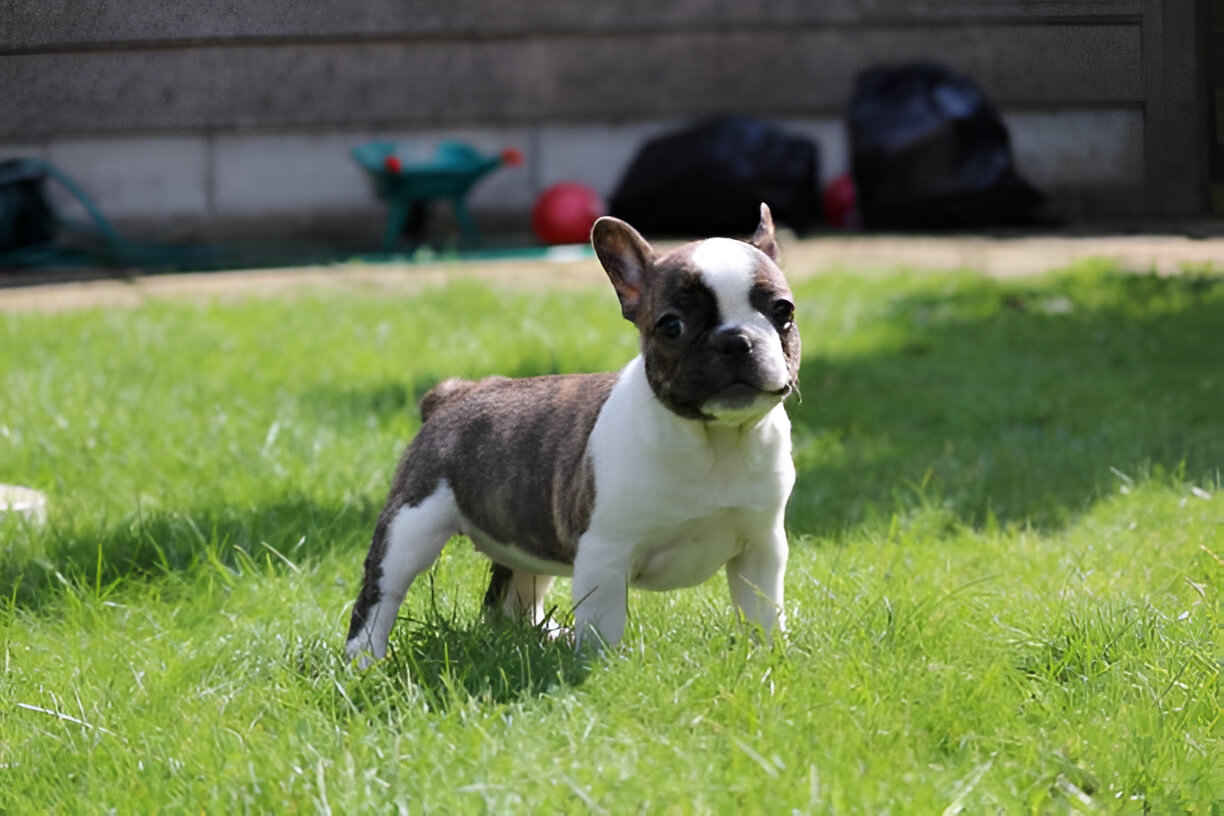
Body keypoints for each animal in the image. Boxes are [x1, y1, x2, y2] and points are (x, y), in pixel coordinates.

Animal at [347, 203, 802, 665]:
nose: (736, 340)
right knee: (380, 595)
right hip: (411, 525)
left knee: (510, 600)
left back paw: (549, 635)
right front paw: (602, 668)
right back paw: (364, 662)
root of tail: (455, 393)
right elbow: (604, 625)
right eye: (672, 326)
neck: (715, 440)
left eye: (784, 312)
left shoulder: (761, 549)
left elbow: (762, 610)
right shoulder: (605, 554)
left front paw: (769, 656)